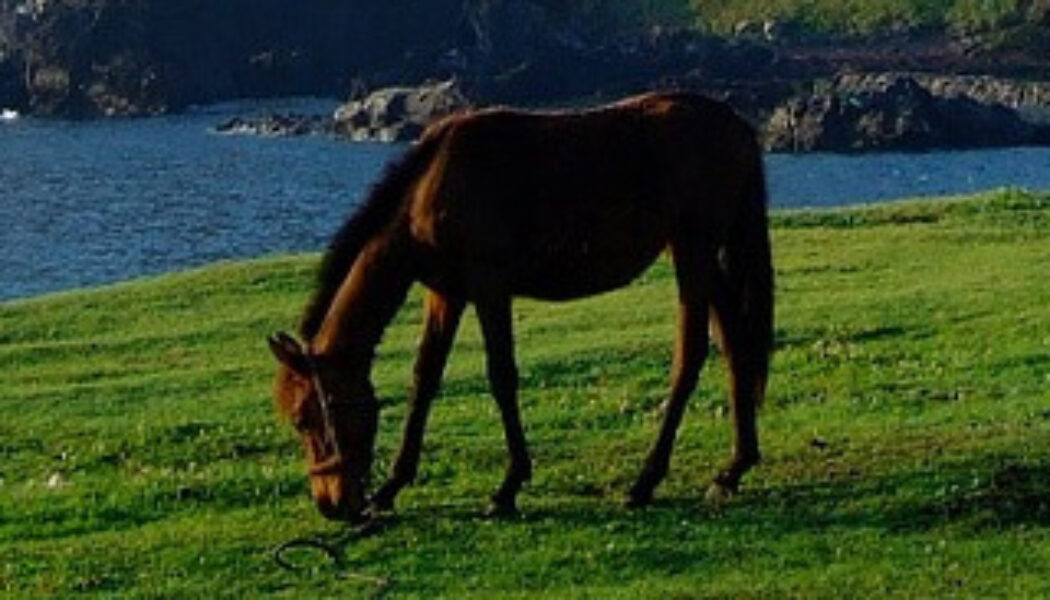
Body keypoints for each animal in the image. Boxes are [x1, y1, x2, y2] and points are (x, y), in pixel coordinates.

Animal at [266, 91, 776, 523]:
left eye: (304, 418)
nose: (331, 505)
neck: (432, 185)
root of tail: (737, 126)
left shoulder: (489, 286)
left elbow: (502, 377)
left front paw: (508, 487)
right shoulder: (446, 293)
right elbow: (424, 379)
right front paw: (393, 485)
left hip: (693, 252)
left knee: (689, 357)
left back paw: (645, 481)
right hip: (701, 258)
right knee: (735, 343)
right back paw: (734, 467)